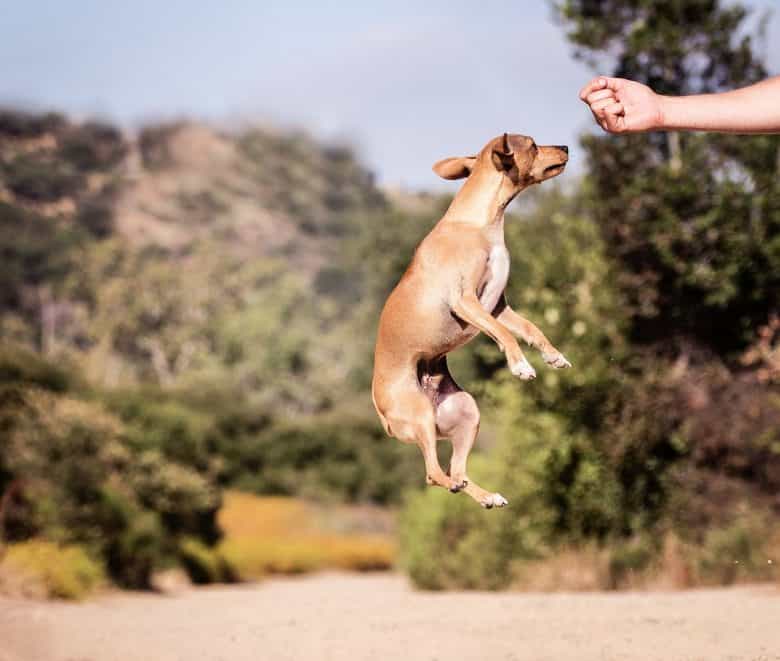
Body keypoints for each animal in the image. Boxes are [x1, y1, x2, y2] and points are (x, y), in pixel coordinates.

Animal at [368, 133, 568, 506]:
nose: (565, 147)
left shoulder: (497, 306)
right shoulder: (467, 302)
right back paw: (456, 485)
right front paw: (521, 366)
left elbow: (530, 329)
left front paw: (553, 355)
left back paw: (486, 496)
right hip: (419, 414)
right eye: (533, 144)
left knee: (457, 469)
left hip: (465, 415)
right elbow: (505, 335)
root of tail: (382, 413)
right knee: (434, 474)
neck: (479, 224)